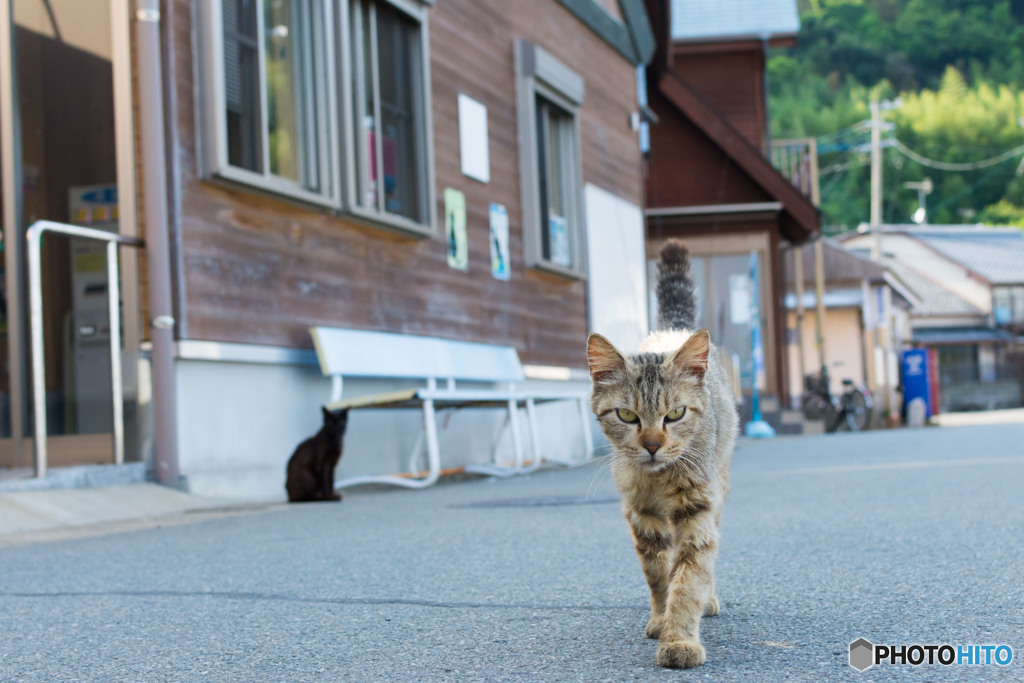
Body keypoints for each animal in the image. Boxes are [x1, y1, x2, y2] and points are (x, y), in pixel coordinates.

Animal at [585, 239, 737, 667]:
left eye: (675, 414)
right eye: (626, 415)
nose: (652, 445)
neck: (659, 479)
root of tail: (671, 330)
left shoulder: (697, 508)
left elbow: (689, 576)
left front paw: (679, 638)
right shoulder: (642, 515)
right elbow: (657, 573)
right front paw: (660, 618)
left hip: (719, 488)